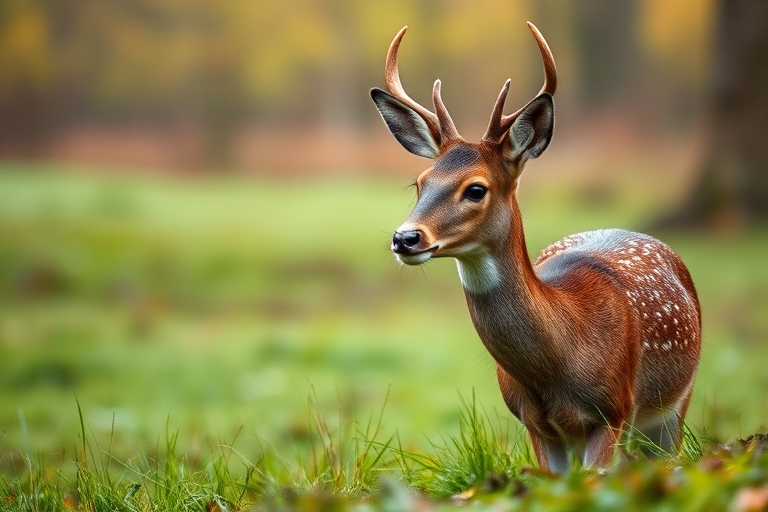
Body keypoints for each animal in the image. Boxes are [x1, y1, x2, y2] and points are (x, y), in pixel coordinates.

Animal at [370, 22, 701, 474]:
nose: (405, 238)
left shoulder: (612, 410)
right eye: (419, 183)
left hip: (675, 403)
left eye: (476, 189)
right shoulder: (534, 422)